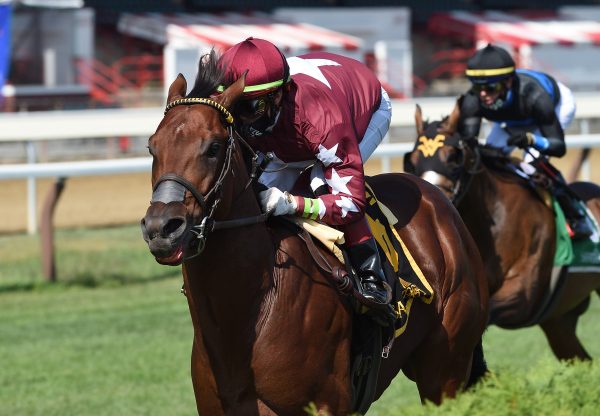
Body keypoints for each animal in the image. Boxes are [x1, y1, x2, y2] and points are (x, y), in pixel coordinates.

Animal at [142, 53, 492, 414]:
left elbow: (347, 195)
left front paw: (277, 200)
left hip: (445, 370)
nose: (162, 229)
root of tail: (440, 202)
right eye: (152, 147)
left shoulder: (327, 402)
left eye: (213, 147)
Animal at [406, 101, 600, 360]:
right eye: (414, 159)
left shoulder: (522, 294)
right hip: (558, 320)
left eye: (453, 157)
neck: (493, 224)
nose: (433, 195)